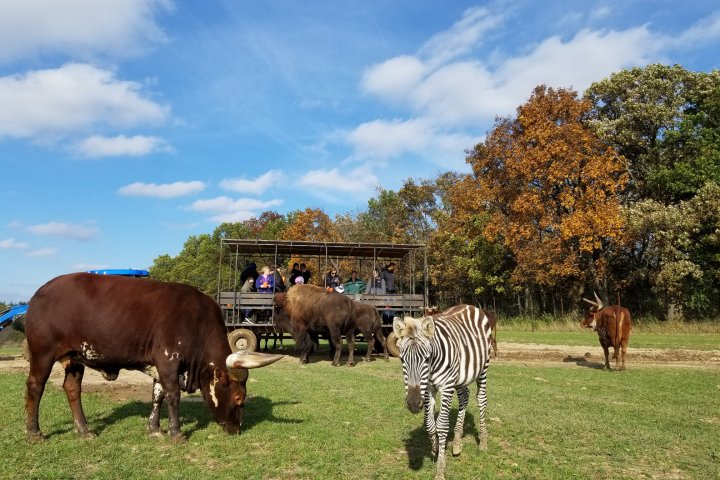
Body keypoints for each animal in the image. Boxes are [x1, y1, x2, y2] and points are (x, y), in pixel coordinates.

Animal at [392, 304, 492, 480]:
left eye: (426, 358)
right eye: (402, 359)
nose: (413, 404)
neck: (432, 366)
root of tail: (469, 306)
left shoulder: (446, 386)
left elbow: (442, 425)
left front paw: (440, 469)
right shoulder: (427, 388)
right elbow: (429, 424)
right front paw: (436, 450)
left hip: (482, 368)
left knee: (481, 399)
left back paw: (483, 442)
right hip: (460, 377)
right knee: (464, 395)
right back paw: (457, 442)